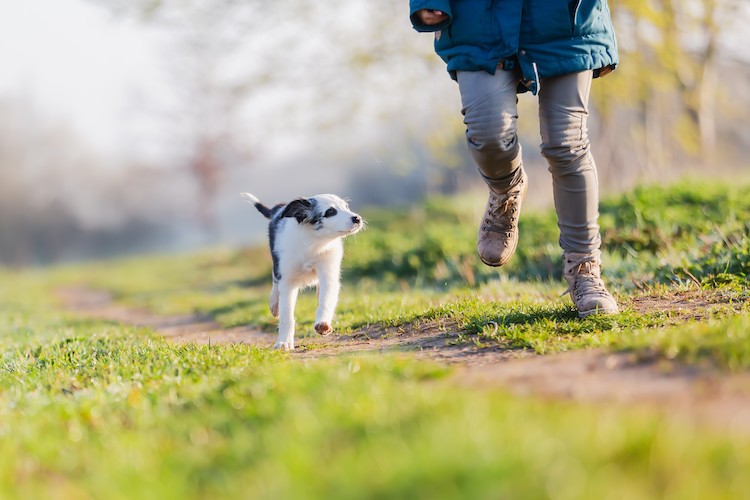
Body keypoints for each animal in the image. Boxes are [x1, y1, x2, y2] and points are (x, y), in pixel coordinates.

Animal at [241, 193, 364, 350]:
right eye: (330, 212)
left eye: (347, 207)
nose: (357, 218)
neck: (314, 243)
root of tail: (278, 209)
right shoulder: (287, 280)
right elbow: (287, 316)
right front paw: (283, 342)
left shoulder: (329, 273)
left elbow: (326, 300)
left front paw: (323, 323)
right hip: (277, 261)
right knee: (275, 280)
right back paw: (274, 305)